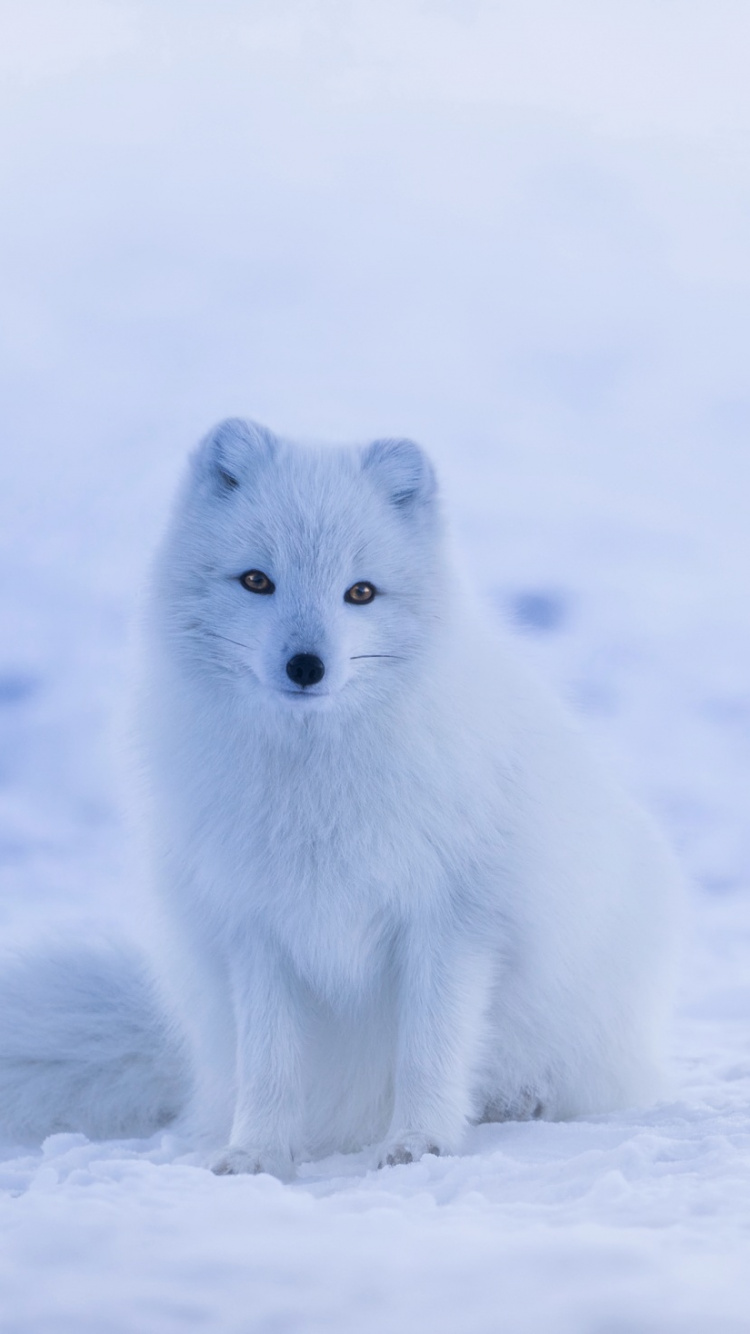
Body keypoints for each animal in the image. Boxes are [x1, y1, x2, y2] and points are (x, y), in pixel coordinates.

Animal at [0, 420, 678, 1176]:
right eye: (257, 580)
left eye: (361, 592)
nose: (306, 665)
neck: (315, 783)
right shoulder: (255, 927)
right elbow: (269, 1065)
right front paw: (257, 1153)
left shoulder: (451, 921)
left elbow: (429, 1051)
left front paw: (420, 1142)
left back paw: (518, 1102)